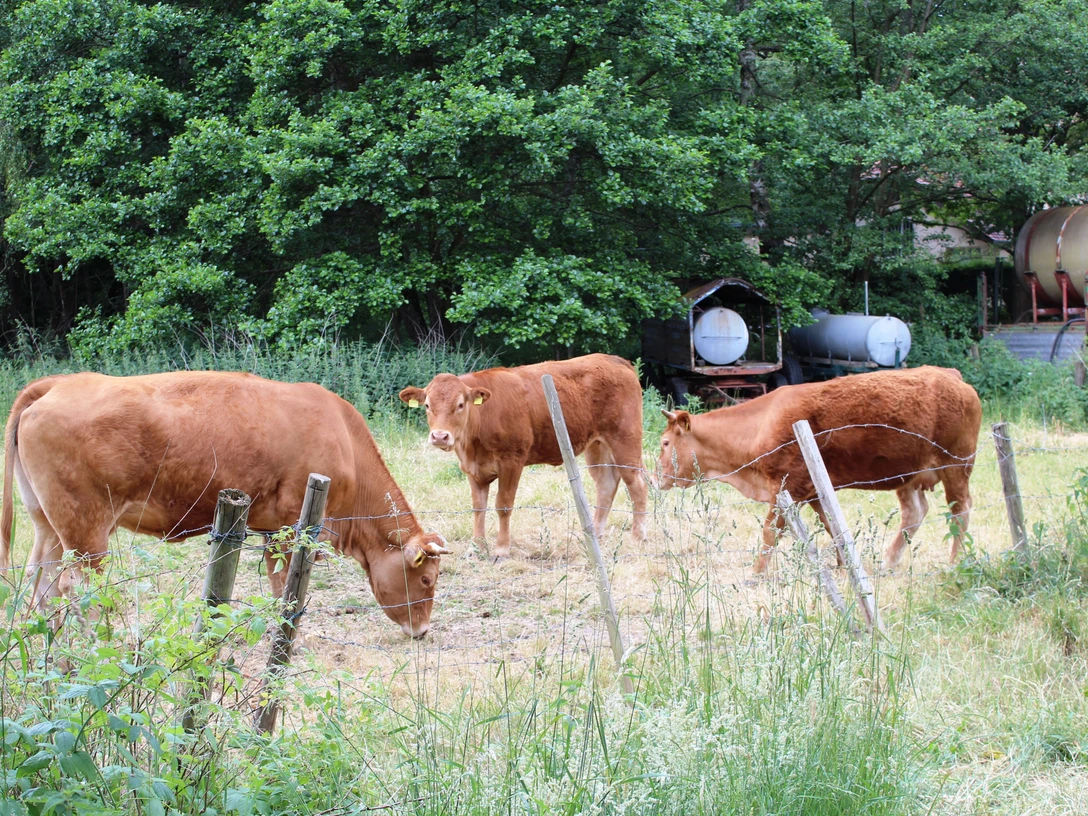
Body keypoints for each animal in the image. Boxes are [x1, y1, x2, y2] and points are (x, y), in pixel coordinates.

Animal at [1, 372, 450, 637]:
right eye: (428, 580)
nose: (423, 630)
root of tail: (58, 383)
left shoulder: (271, 528)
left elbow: (275, 581)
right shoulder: (294, 528)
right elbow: (284, 585)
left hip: (48, 525)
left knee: (41, 581)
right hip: (86, 529)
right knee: (76, 587)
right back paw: (102, 641)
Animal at [399, 354, 648, 558]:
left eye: (460, 404)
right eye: (427, 405)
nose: (440, 436)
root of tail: (615, 360)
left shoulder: (512, 461)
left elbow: (503, 505)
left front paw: (501, 549)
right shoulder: (472, 469)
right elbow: (478, 507)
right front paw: (475, 548)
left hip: (625, 439)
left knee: (637, 485)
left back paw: (638, 537)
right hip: (597, 445)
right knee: (606, 485)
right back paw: (595, 534)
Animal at [655, 366, 981, 571]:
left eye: (665, 442)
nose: (656, 477)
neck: (760, 425)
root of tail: (952, 377)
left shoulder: (785, 487)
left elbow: (770, 532)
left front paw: (756, 574)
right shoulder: (812, 491)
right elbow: (832, 527)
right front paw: (843, 564)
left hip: (956, 465)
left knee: (960, 511)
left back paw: (955, 562)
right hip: (909, 477)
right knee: (914, 513)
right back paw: (889, 562)